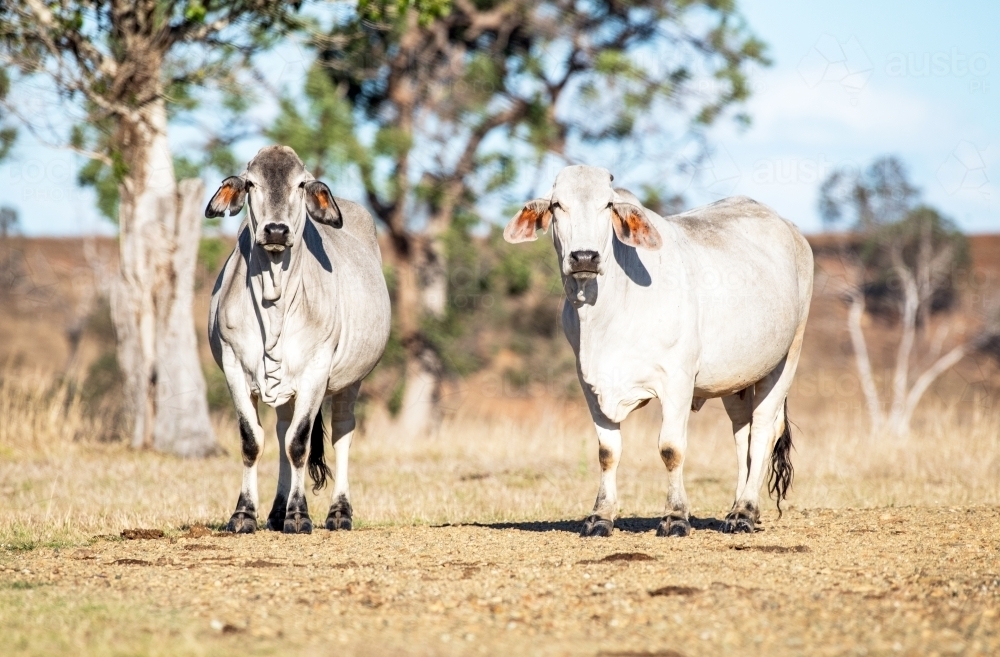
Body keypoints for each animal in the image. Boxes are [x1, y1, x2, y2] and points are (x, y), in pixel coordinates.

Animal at [207, 145, 391, 534]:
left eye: (301, 184)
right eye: (250, 183)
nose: (276, 230)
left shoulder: (316, 370)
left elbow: (299, 443)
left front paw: (298, 515)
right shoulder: (233, 366)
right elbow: (252, 440)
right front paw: (245, 514)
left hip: (351, 381)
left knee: (341, 432)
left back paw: (339, 512)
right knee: (279, 430)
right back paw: (276, 512)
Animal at [504, 165, 813, 536]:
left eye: (608, 205)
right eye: (556, 205)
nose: (584, 257)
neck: (604, 312)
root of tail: (790, 228)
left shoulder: (677, 380)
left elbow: (671, 449)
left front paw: (676, 516)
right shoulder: (590, 385)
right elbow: (607, 451)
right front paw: (600, 516)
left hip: (787, 357)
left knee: (765, 429)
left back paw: (746, 511)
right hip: (737, 378)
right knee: (743, 434)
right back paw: (737, 506)